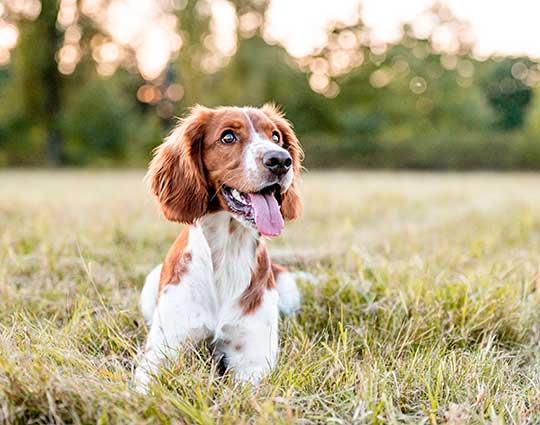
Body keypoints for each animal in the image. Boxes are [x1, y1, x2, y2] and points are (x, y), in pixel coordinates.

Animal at [134, 103, 304, 390]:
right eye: (228, 137)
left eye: (275, 137)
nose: (280, 160)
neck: (228, 252)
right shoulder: (160, 351)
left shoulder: (253, 359)